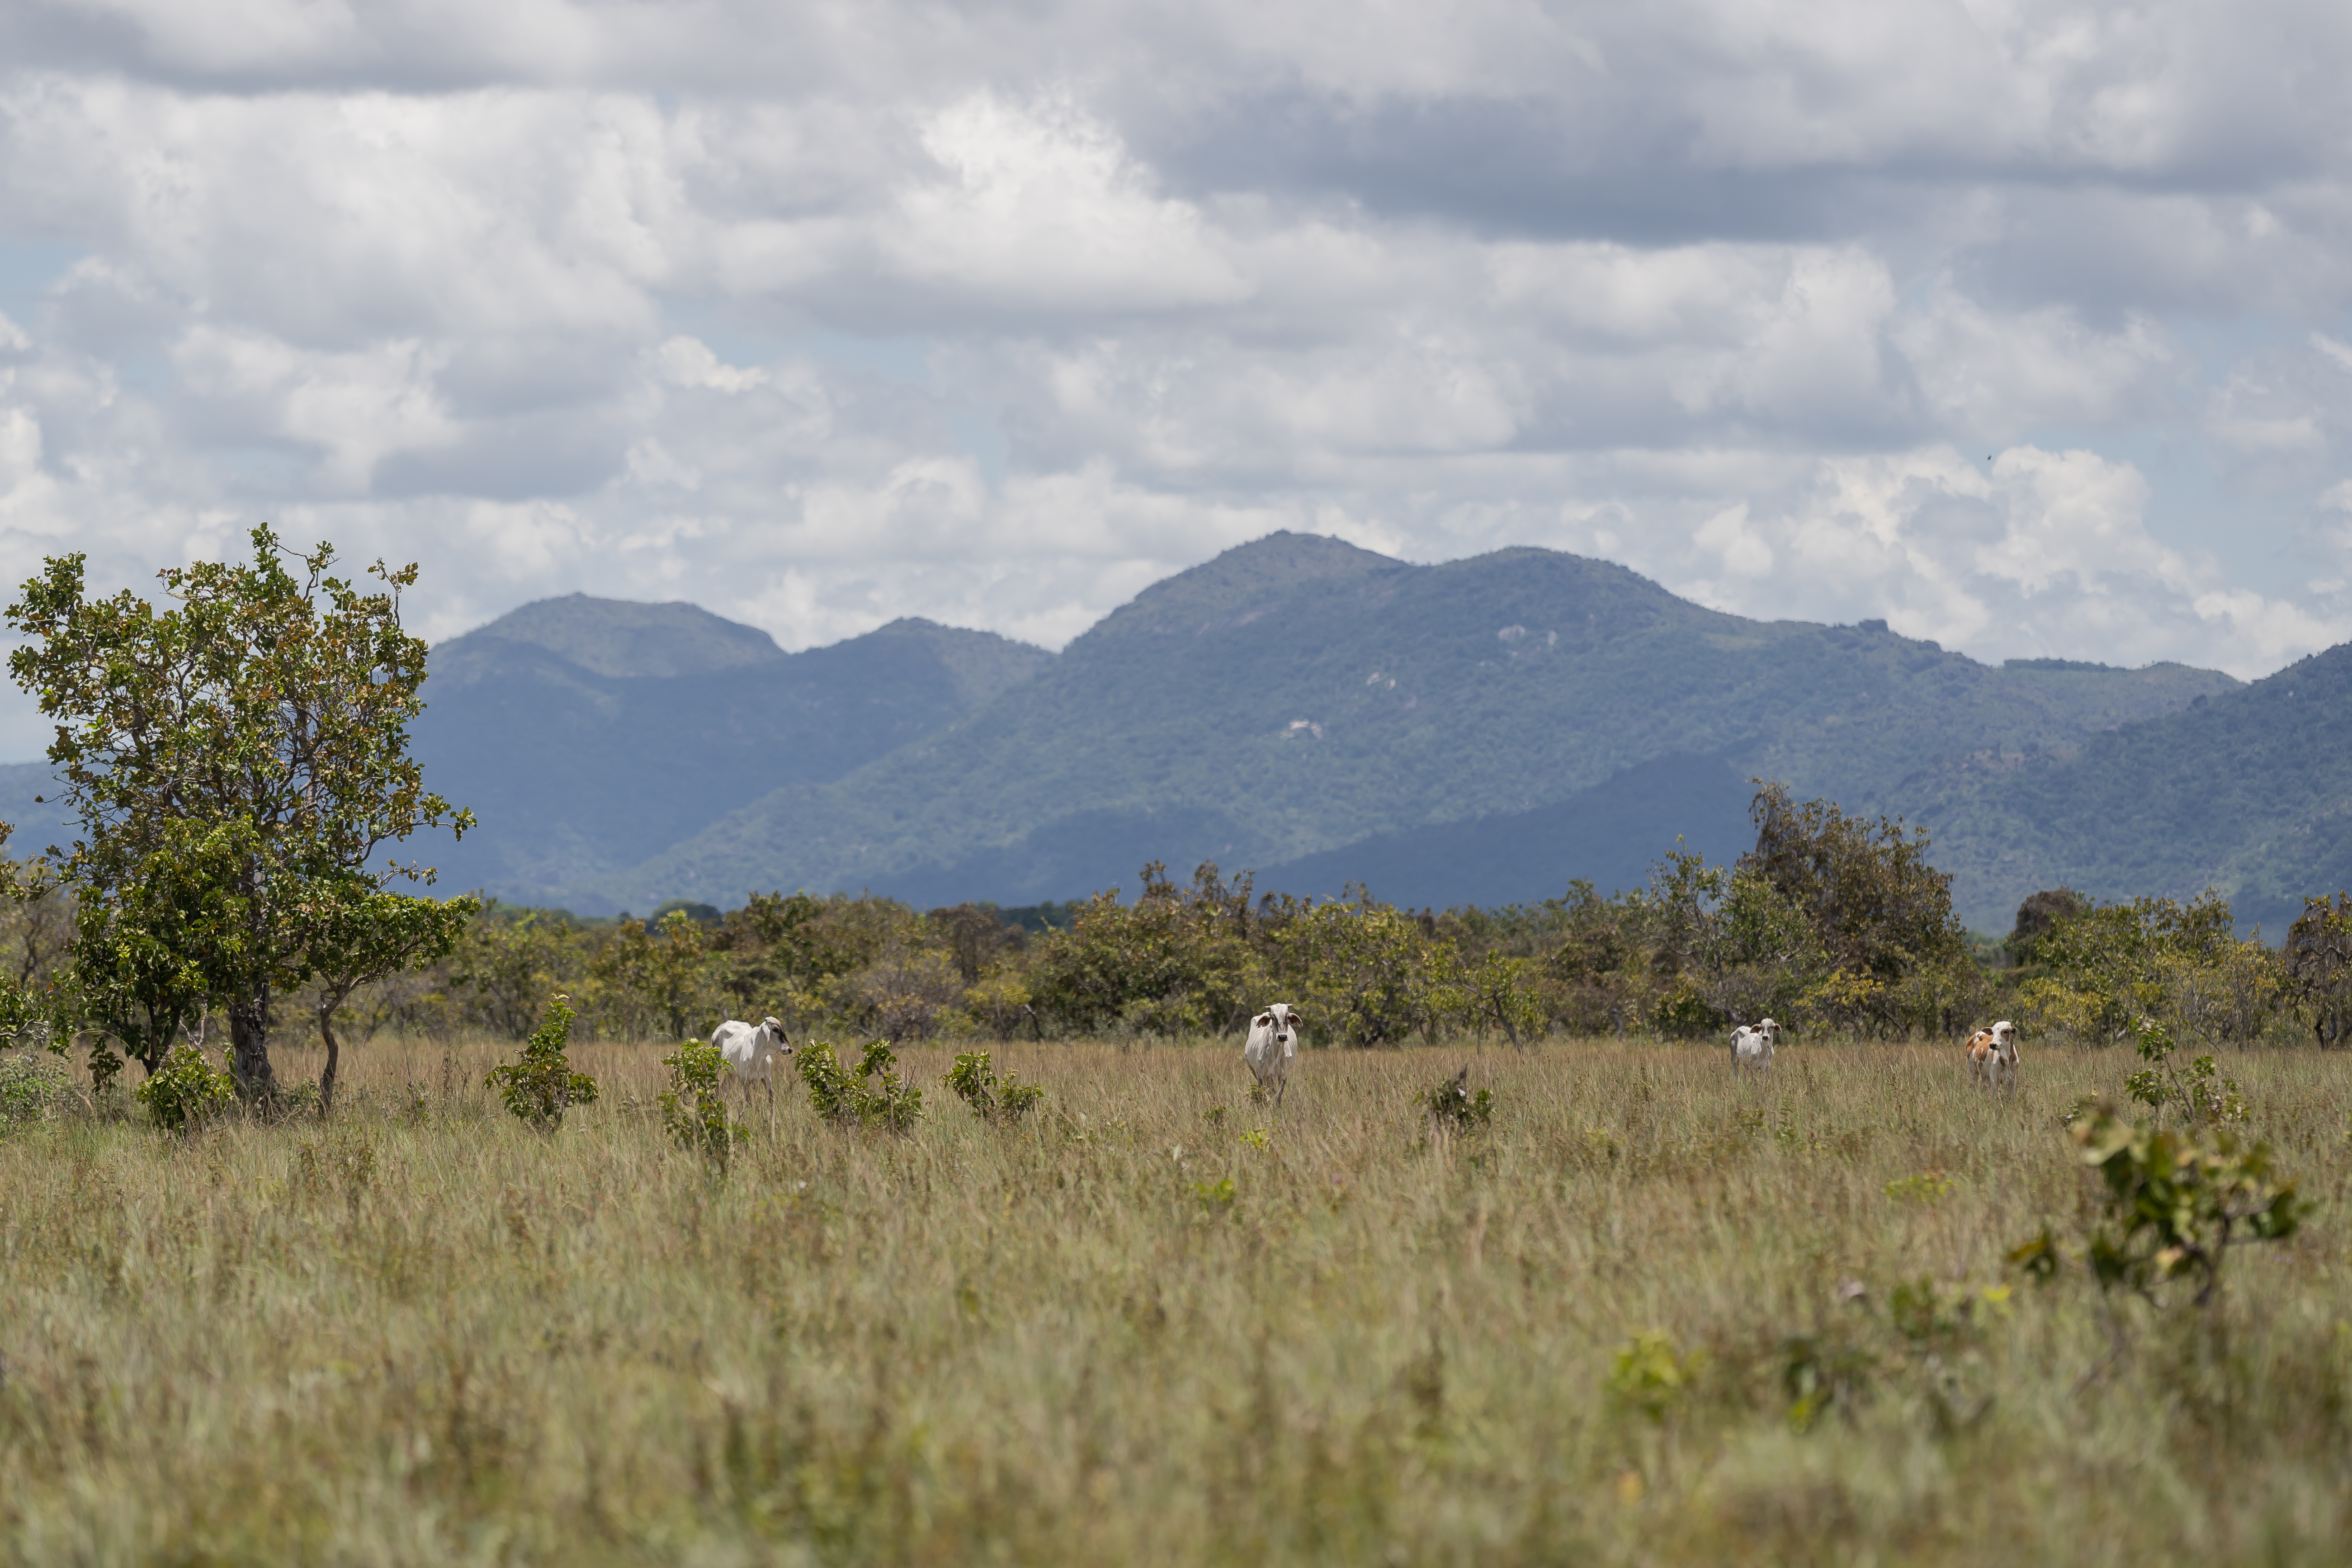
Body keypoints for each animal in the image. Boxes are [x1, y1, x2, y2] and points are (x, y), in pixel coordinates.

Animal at [1244, 1004, 1306, 1107]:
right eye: (1273, 1018)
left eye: (1288, 1017)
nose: (1282, 1037)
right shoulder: (1262, 1074)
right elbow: (1265, 1094)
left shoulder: (1284, 1075)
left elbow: (1278, 1097)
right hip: (1253, 1070)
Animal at [1966, 1020, 2020, 1091]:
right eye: (1993, 1033)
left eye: (2005, 1032)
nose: (1992, 1045)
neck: (2007, 1061)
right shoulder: (1994, 1078)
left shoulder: (2013, 1079)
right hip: (1972, 1070)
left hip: (1985, 1076)